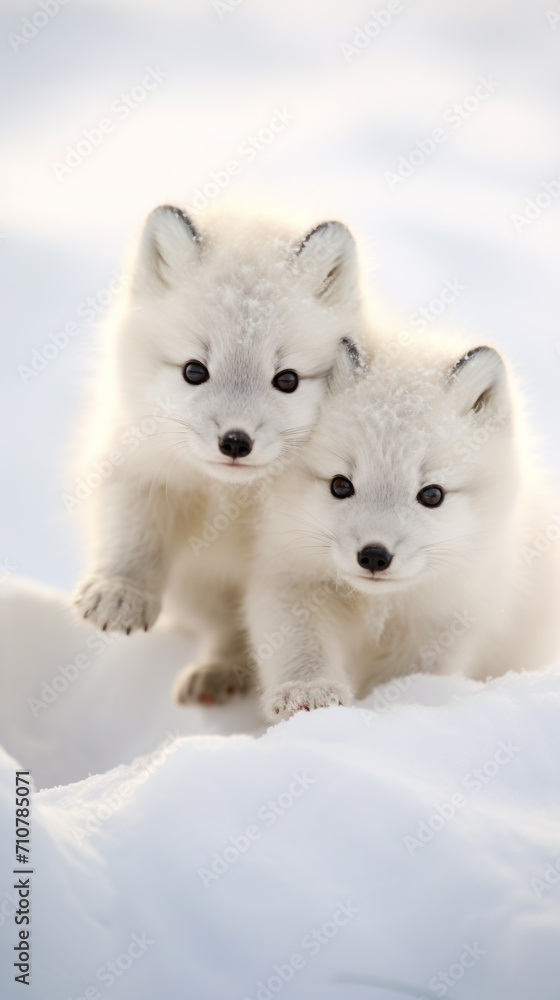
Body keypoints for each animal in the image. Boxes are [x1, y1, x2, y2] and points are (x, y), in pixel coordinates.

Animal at [72, 203, 366, 705]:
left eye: (287, 379)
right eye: (194, 371)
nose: (235, 442)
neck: (235, 499)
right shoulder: (140, 462)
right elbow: (132, 530)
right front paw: (119, 591)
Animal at [245, 334, 560, 721]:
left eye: (432, 494)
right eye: (340, 485)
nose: (374, 556)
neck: (378, 604)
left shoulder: (442, 624)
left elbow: (404, 679)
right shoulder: (291, 578)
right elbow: (299, 648)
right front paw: (309, 695)